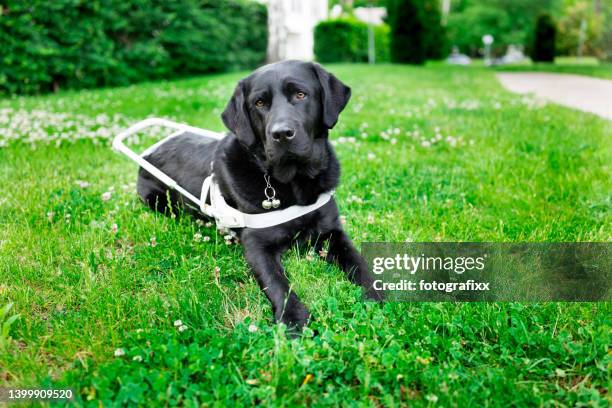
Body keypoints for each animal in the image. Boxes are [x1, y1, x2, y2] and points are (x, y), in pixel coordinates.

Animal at [139, 59, 378, 328]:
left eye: (300, 94)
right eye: (259, 103)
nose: (281, 133)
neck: (294, 183)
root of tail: (153, 147)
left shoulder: (332, 232)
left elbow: (357, 261)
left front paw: (377, 290)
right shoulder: (256, 245)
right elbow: (277, 282)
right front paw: (294, 319)